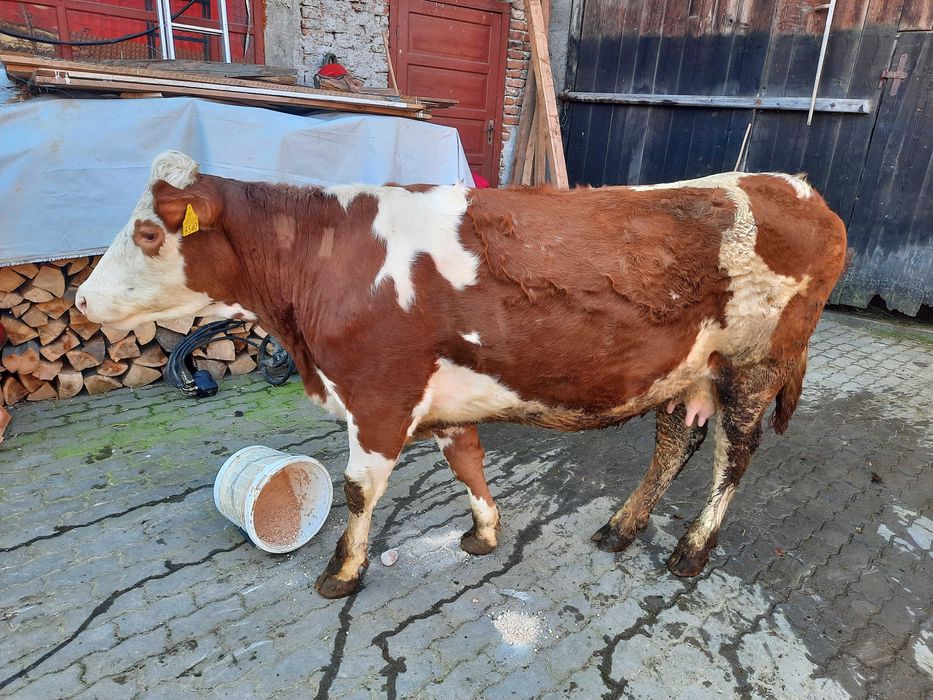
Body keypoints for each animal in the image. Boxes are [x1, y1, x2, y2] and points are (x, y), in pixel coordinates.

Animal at [77, 151, 847, 598]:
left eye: (149, 232)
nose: (81, 297)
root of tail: (799, 189)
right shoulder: (437, 399)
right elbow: (467, 462)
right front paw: (483, 534)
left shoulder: (378, 396)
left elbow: (358, 491)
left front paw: (342, 571)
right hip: (687, 369)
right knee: (674, 441)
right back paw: (622, 527)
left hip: (754, 364)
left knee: (733, 455)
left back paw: (690, 551)